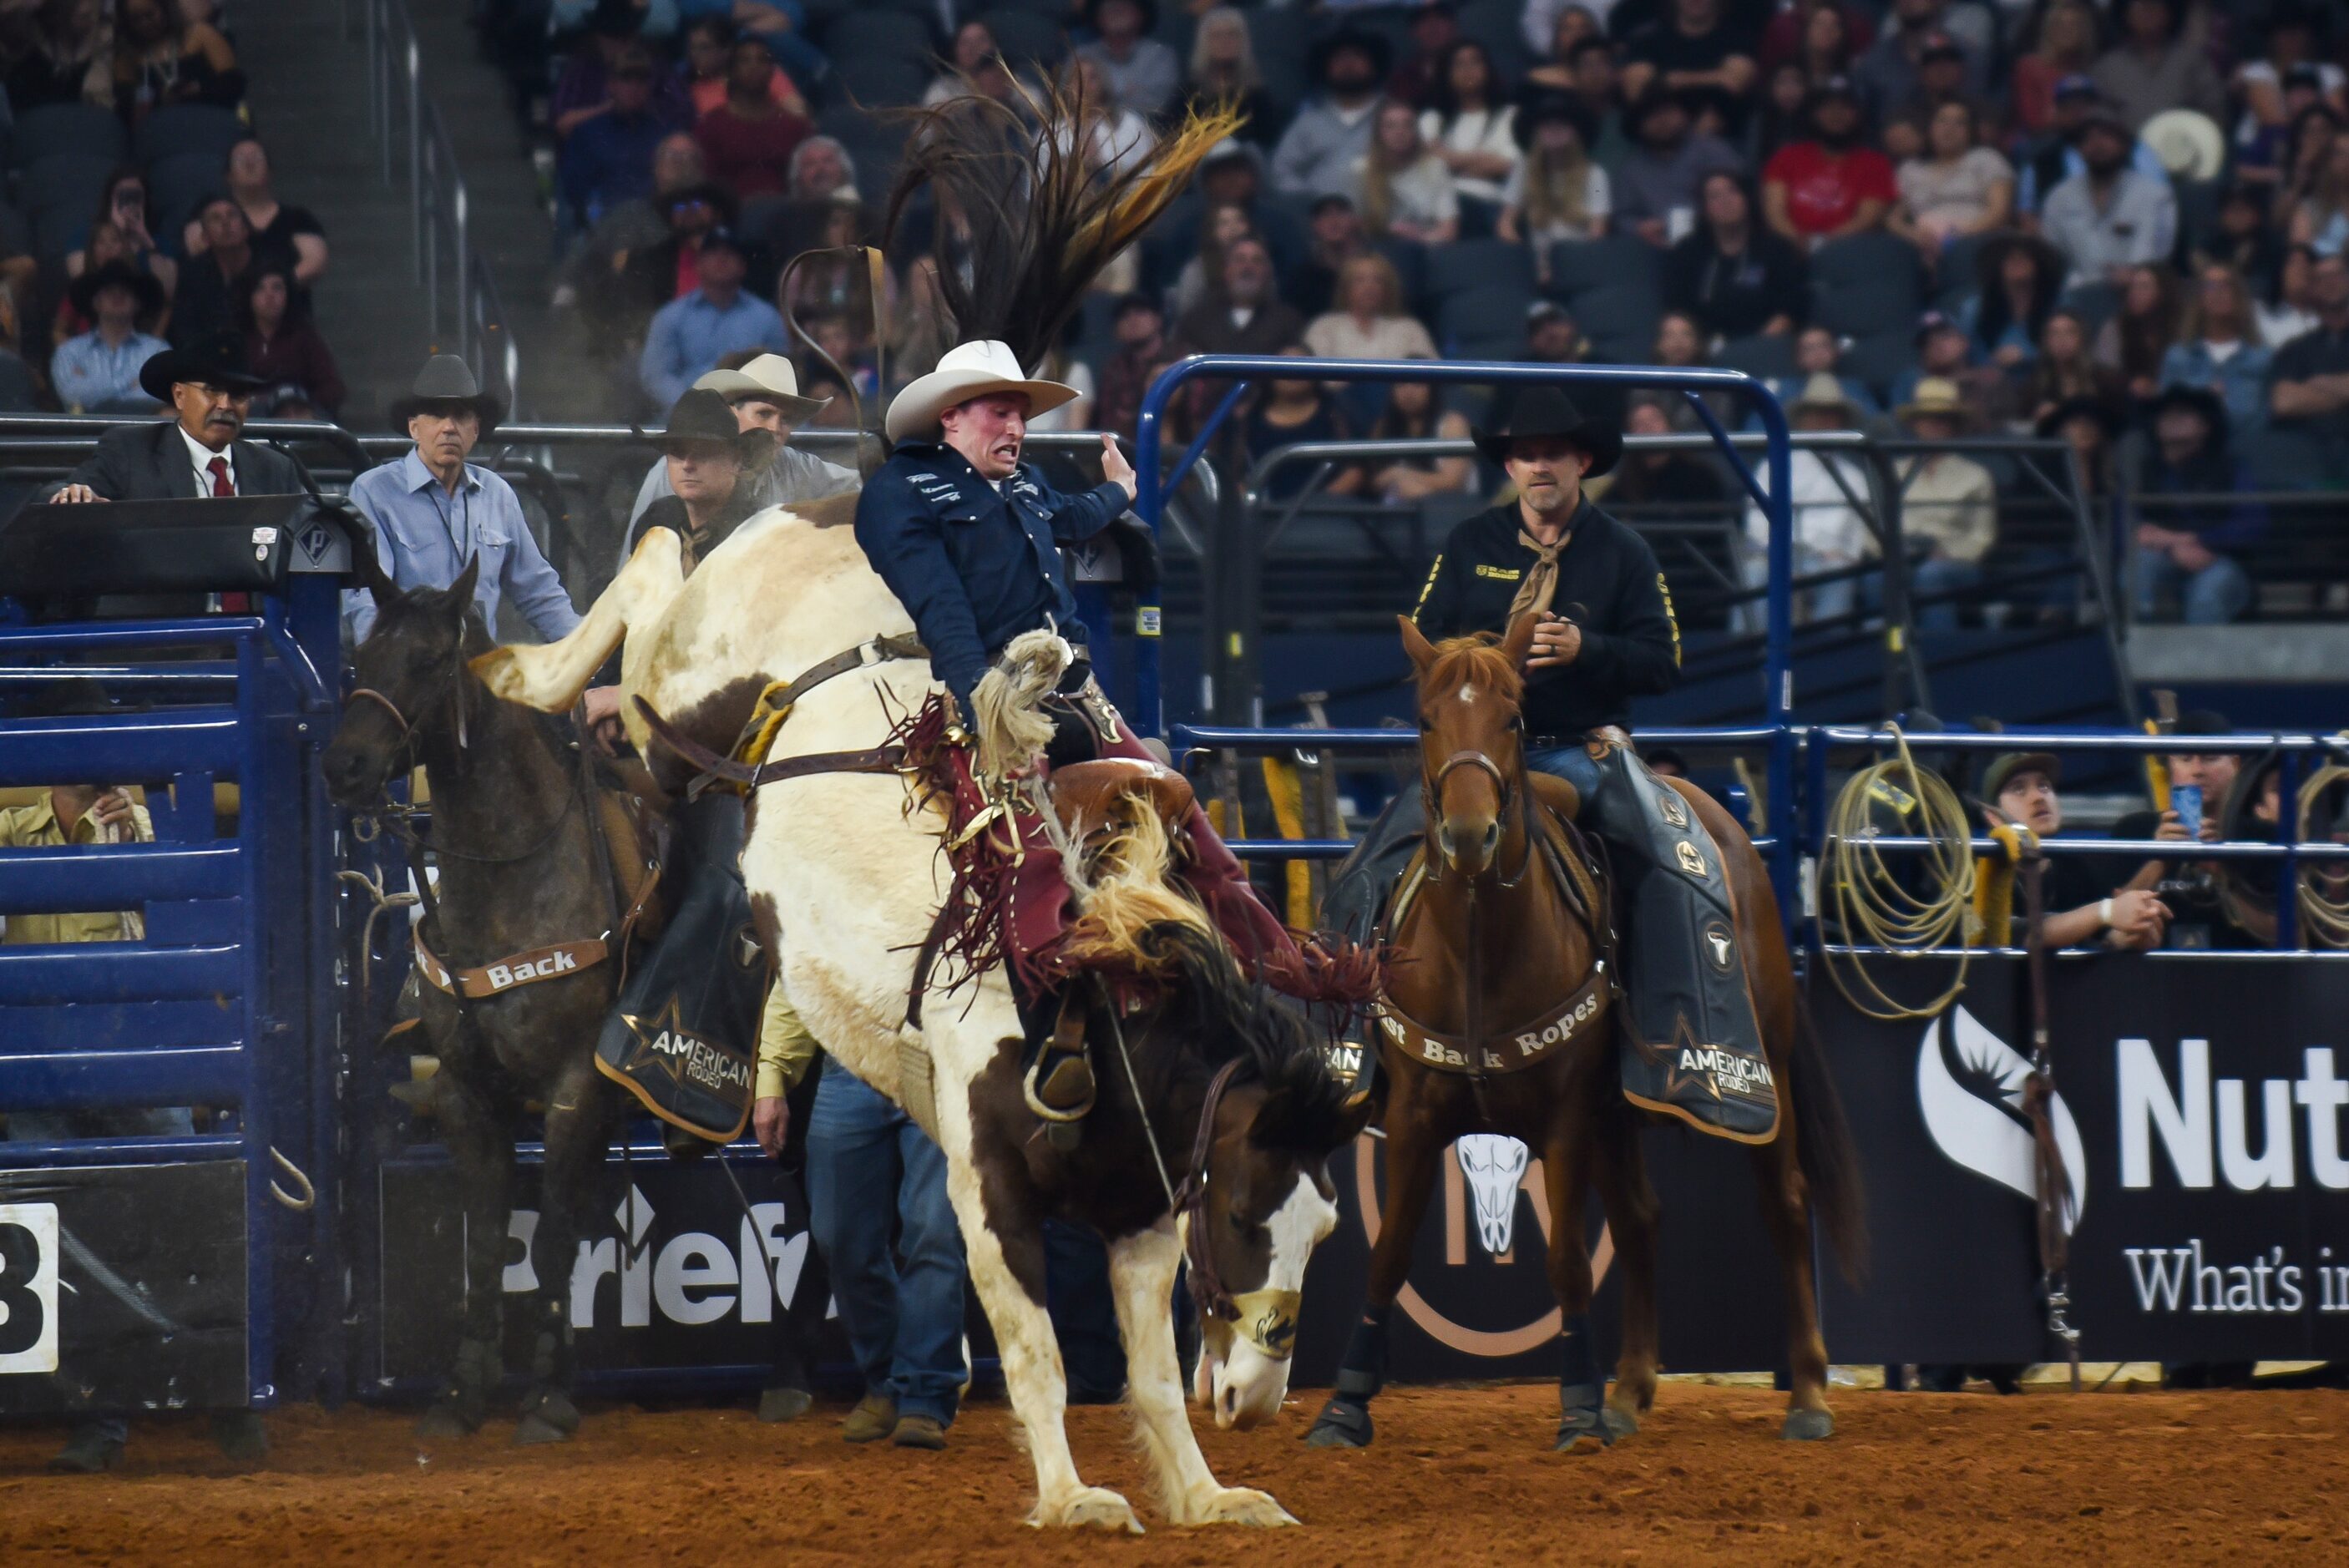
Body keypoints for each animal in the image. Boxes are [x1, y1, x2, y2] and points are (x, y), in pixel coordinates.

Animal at [319, 551, 653, 1445]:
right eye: (362, 656)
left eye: (432, 660)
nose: (343, 766)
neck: (515, 877)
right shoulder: (466, 1093)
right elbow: (483, 1240)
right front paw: (465, 1391)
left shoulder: (575, 1090)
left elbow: (555, 1240)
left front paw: (547, 1398)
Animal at [1296, 620, 1860, 1455]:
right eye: (1427, 721)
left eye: (1513, 720)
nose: (1469, 835)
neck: (1477, 942)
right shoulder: (1415, 1118)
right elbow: (1388, 1255)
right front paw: (1344, 1405)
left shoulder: (1561, 1121)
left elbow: (1565, 1259)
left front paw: (1577, 1409)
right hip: (1615, 1112)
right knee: (1639, 1218)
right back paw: (1629, 1391)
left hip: (1769, 1071)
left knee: (1785, 1204)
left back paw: (1808, 1395)